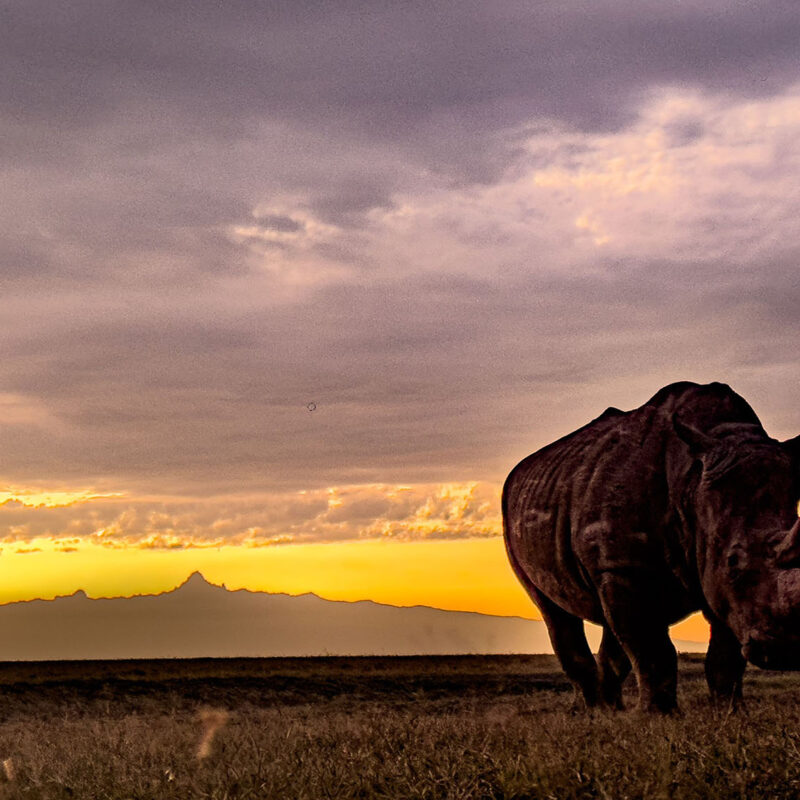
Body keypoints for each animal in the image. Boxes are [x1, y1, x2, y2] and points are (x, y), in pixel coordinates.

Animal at [502, 381, 800, 712]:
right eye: (733, 562)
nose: (787, 651)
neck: (692, 484)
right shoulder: (626, 566)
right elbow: (653, 649)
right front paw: (659, 716)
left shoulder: (715, 579)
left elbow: (725, 657)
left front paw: (731, 713)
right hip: (513, 520)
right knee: (554, 612)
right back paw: (588, 712)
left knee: (610, 622)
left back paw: (611, 711)